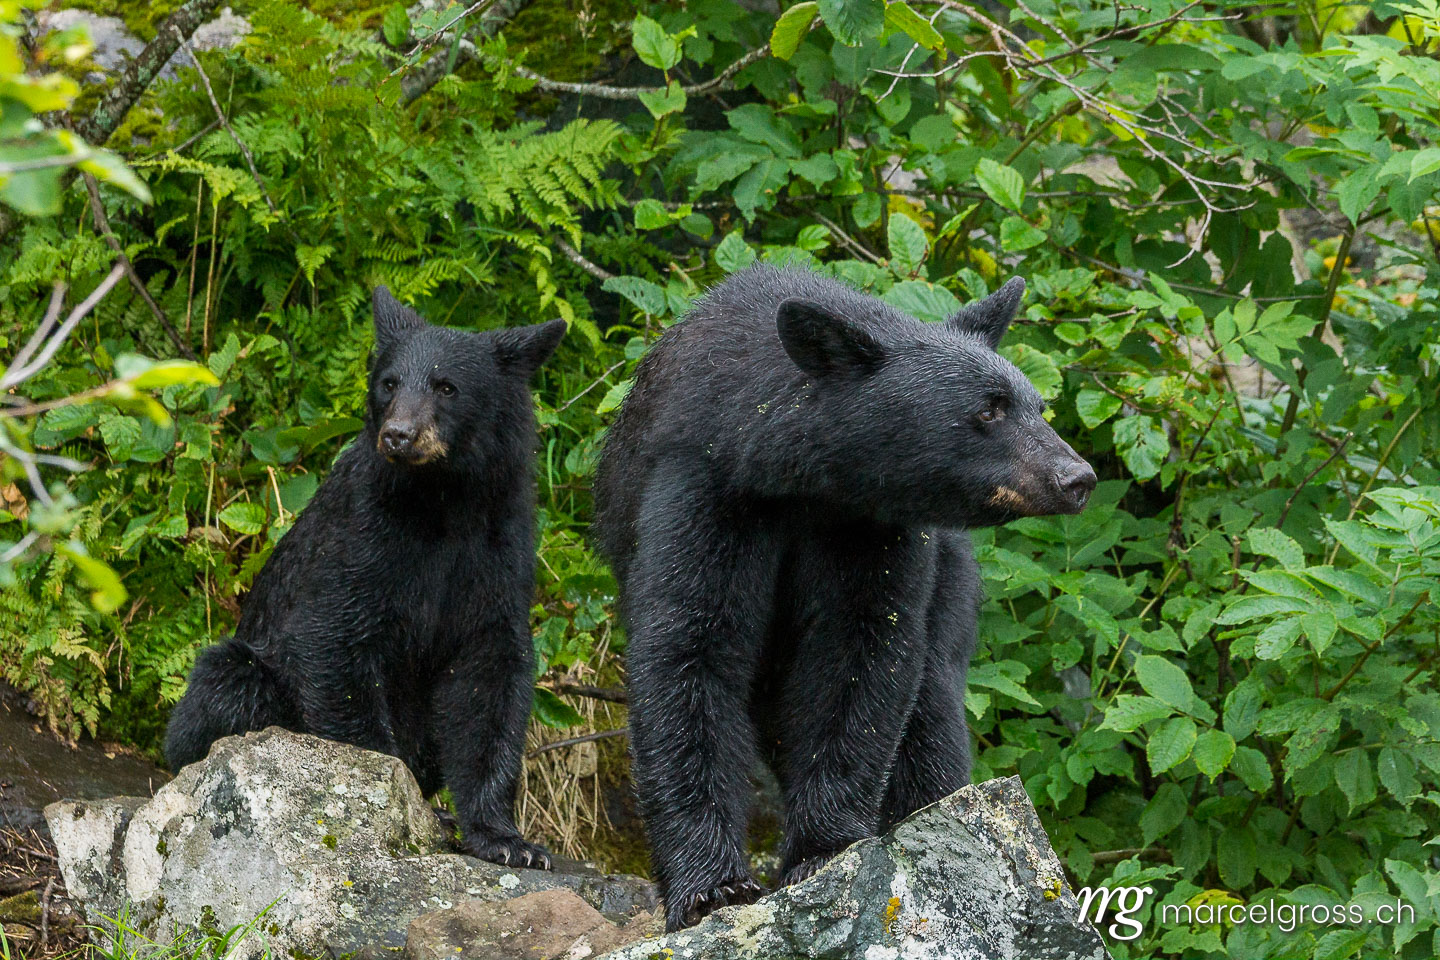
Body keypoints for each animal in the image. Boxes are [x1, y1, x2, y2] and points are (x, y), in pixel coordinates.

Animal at [165, 287, 566, 869]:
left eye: (447, 386)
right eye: (390, 382)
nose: (399, 435)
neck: (441, 503)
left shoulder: (499, 548)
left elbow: (489, 676)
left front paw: (506, 838)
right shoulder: (363, 537)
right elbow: (332, 637)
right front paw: (394, 797)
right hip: (233, 679)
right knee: (229, 687)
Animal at [592, 264, 1096, 929]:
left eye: (1037, 405)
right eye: (990, 408)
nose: (1077, 477)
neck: (796, 475)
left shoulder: (872, 528)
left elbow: (862, 652)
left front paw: (824, 848)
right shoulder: (703, 487)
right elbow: (688, 645)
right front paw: (711, 887)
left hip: (954, 585)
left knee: (930, 705)